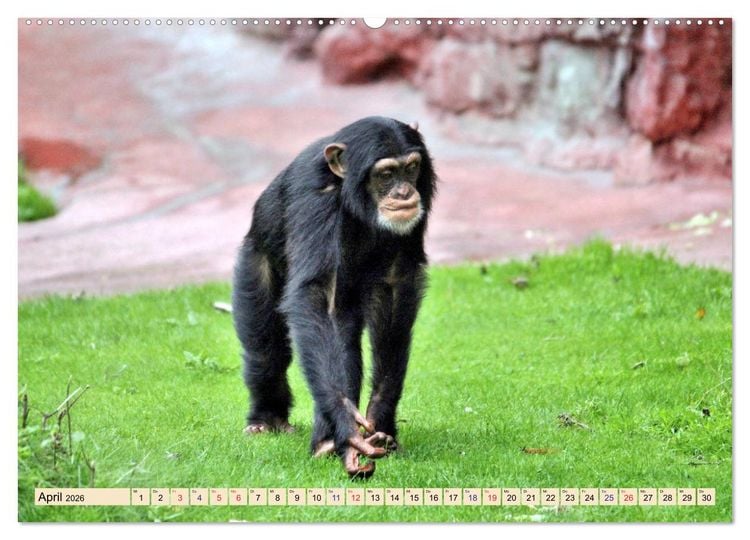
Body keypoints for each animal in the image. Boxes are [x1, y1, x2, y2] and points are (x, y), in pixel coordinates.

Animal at [232, 116, 436, 477]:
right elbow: (320, 294)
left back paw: (337, 441)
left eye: (411, 168)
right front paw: (347, 424)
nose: (404, 193)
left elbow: (395, 289)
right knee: (265, 350)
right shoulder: (315, 195)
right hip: (254, 258)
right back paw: (272, 421)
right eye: (386, 174)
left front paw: (378, 417)